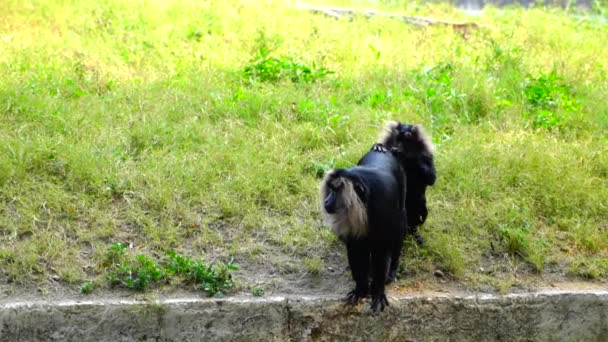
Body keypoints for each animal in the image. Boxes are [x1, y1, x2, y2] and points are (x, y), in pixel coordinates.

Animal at [320, 146, 406, 312]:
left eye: (336, 192)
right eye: (330, 190)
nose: (326, 201)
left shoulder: (383, 204)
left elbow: (382, 252)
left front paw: (377, 293)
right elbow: (356, 251)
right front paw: (360, 290)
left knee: (399, 229)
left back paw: (391, 271)